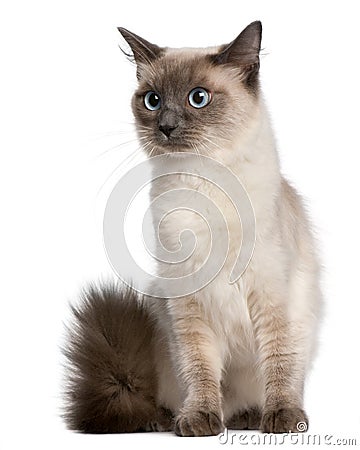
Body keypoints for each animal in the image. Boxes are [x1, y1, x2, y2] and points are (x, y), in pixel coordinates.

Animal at [63, 21, 322, 436]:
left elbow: (279, 363)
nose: (166, 127)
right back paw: (170, 421)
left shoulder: (272, 297)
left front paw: (282, 420)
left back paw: (251, 417)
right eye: (152, 101)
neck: (203, 184)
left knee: (255, 390)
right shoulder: (188, 305)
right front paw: (200, 420)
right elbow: (199, 370)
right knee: (182, 397)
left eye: (198, 98)